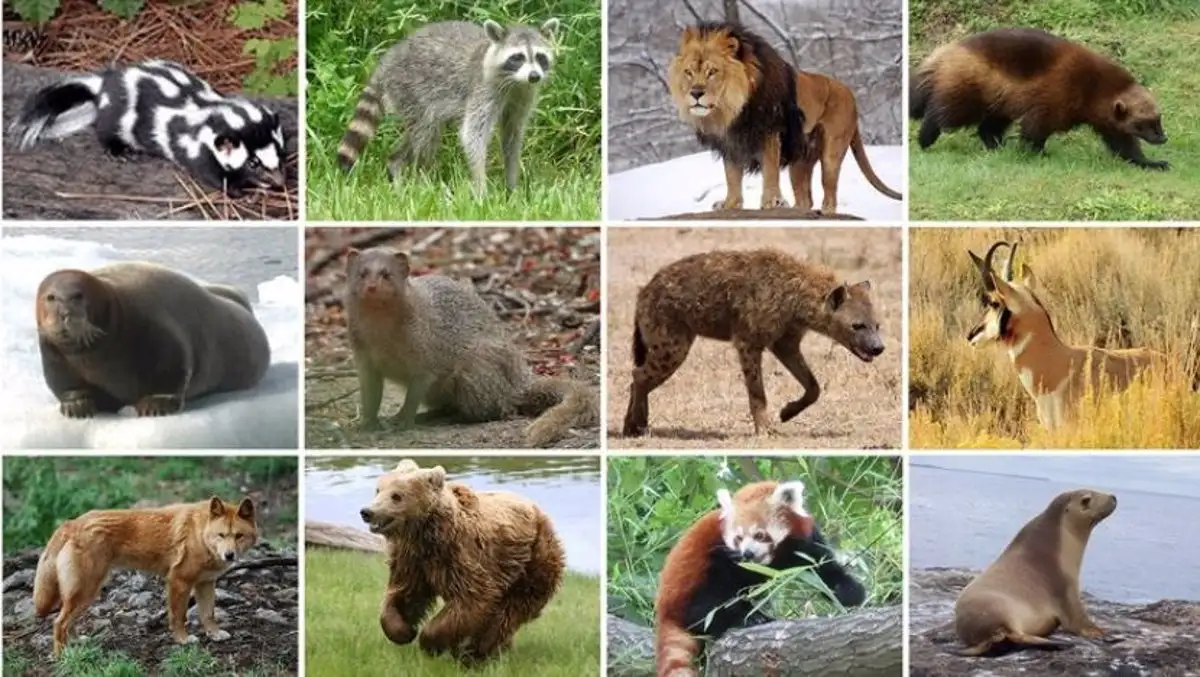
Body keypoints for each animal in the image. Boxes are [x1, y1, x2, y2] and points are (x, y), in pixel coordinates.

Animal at [11, 59, 285, 194]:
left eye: (279, 154)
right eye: (253, 163)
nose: (280, 181)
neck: (213, 113)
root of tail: (104, 84)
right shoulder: (196, 149)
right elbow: (213, 176)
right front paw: (243, 189)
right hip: (117, 116)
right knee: (106, 131)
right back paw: (118, 152)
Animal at [336, 17, 559, 195]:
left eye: (540, 57)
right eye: (517, 57)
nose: (534, 76)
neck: (515, 81)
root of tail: (389, 58)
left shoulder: (523, 95)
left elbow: (512, 136)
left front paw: (512, 187)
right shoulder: (483, 89)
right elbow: (473, 135)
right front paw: (481, 187)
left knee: (420, 134)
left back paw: (395, 165)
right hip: (411, 89)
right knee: (426, 135)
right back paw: (419, 177)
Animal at [357, 458, 564, 662]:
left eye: (397, 496)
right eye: (378, 490)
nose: (367, 512)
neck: (427, 535)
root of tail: (540, 512)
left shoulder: (463, 556)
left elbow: (472, 598)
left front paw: (429, 642)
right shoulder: (412, 560)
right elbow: (404, 593)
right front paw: (404, 631)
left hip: (533, 559)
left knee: (511, 609)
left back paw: (478, 650)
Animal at [657, 480, 864, 677]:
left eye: (759, 535)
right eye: (738, 538)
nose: (747, 553)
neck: (773, 558)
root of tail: (664, 609)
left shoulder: (803, 542)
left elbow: (823, 568)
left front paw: (849, 592)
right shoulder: (725, 552)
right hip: (694, 579)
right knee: (707, 605)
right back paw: (747, 618)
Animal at [667, 22, 902, 213]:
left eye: (712, 72)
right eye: (689, 72)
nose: (696, 93)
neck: (732, 110)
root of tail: (850, 94)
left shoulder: (770, 133)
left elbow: (770, 171)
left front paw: (772, 202)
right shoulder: (731, 142)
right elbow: (732, 176)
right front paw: (730, 204)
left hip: (832, 151)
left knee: (829, 189)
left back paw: (825, 211)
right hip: (800, 161)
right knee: (805, 199)